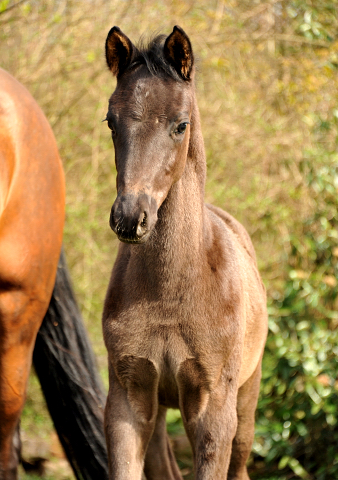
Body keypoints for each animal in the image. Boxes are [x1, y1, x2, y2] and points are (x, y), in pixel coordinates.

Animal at [101, 26, 268, 480]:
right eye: (111, 121)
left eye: (181, 124)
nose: (130, 218)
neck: (170, 293)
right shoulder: (128, 397)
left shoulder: (213, 409)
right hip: (159, 413)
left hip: (247, 400)